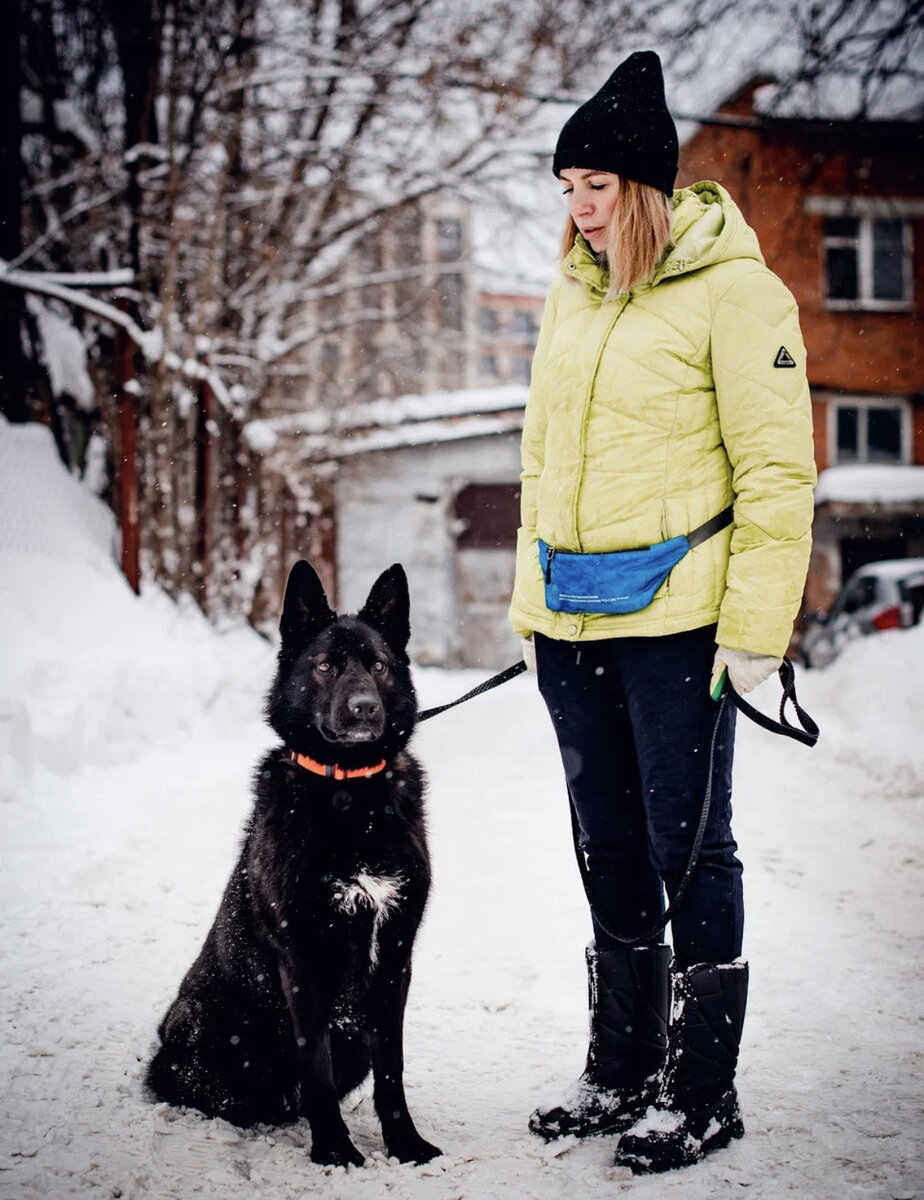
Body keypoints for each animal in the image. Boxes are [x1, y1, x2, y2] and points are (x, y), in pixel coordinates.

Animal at [145, 564, 441, 1171]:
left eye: (377, 665)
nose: (364, 708)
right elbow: (316, 1069)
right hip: (205, 1022)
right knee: (217, 1091)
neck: (351, 792)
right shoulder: (303, 959)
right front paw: (334, 1149)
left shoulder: (396, 958)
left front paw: (405, 1145)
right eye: (325, 666)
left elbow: (393, 1069)